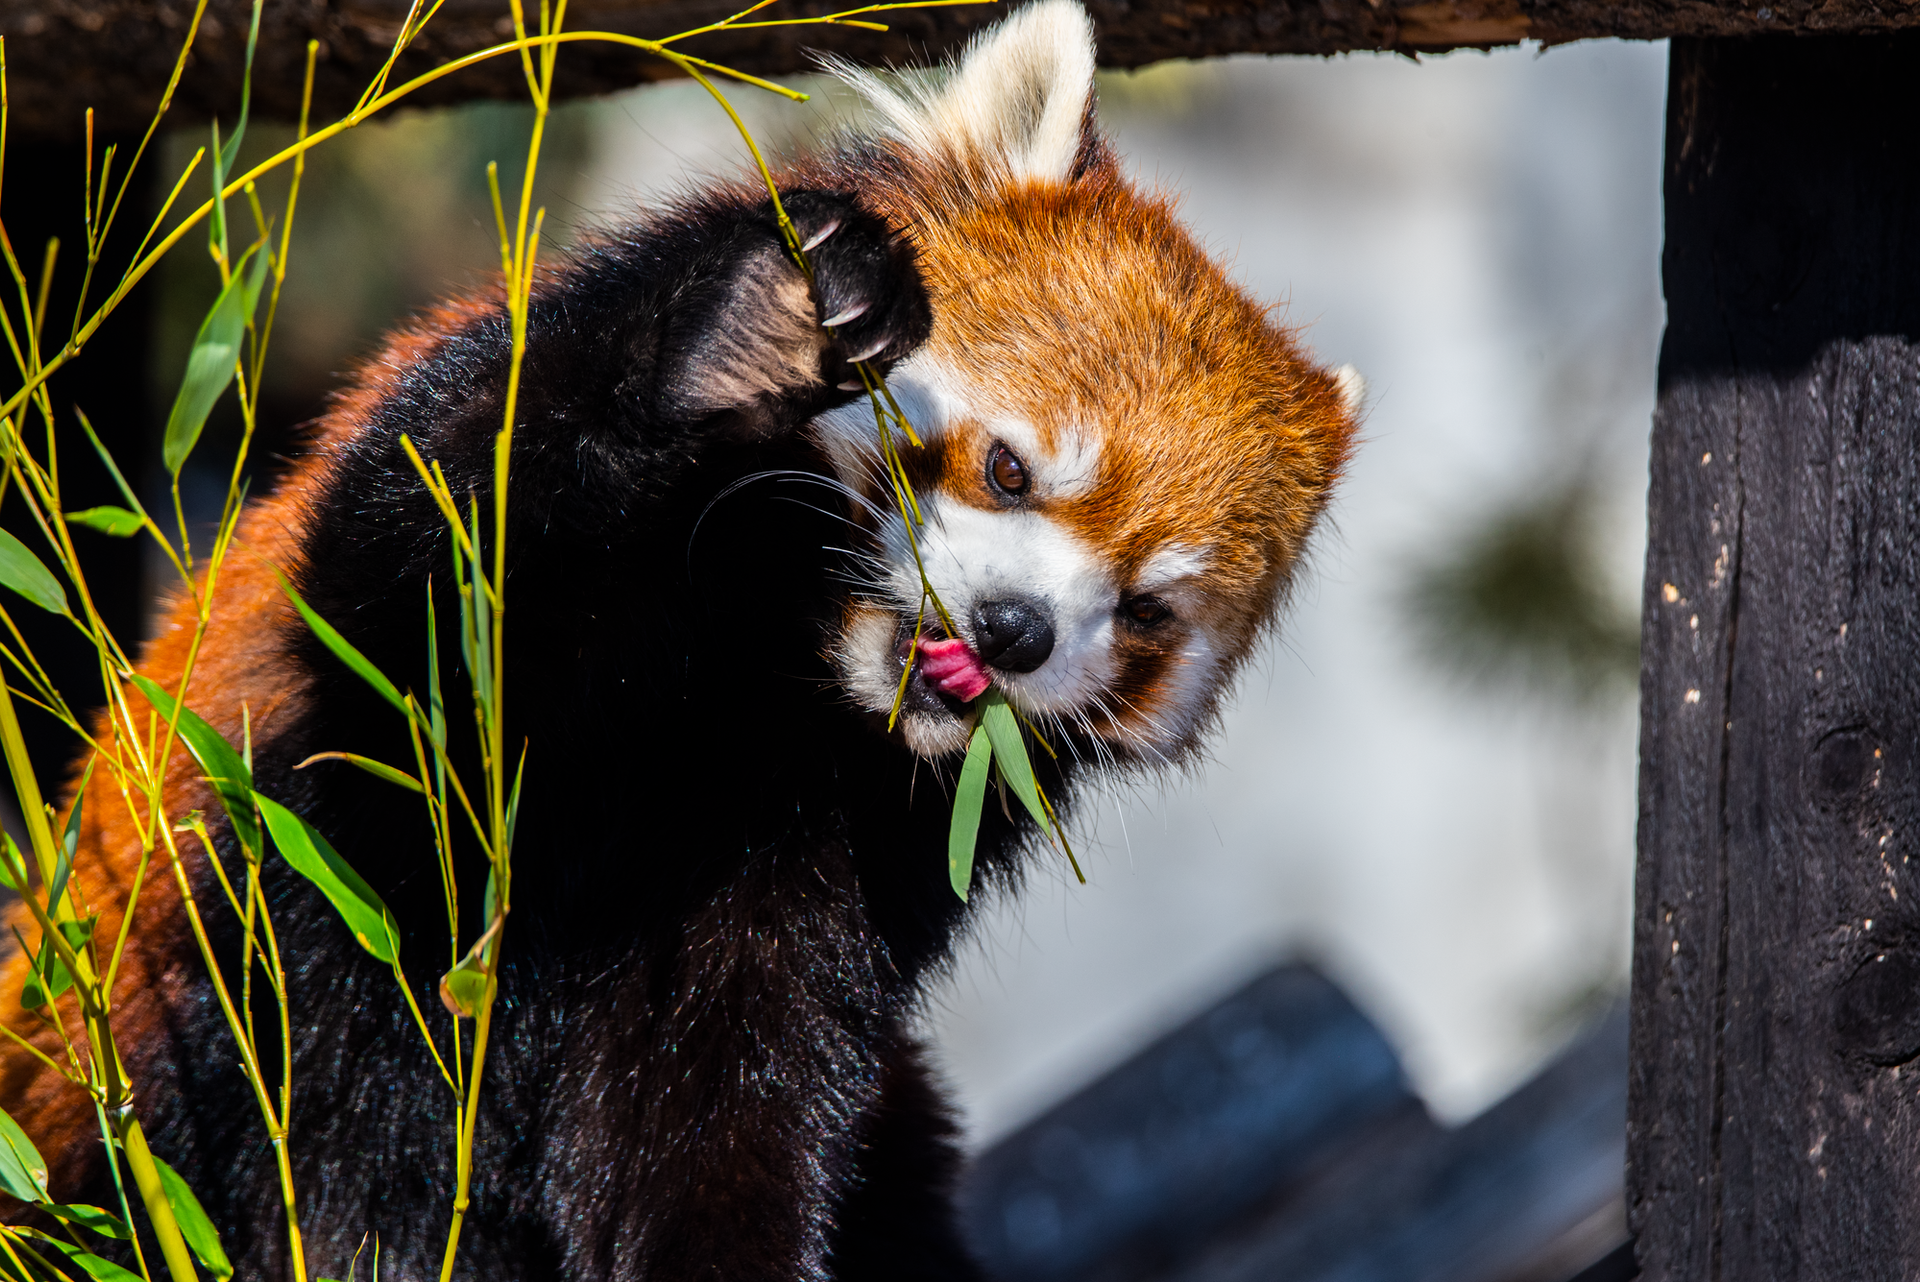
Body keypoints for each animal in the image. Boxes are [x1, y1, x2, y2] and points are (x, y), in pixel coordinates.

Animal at [0, 3, 1357, 1278]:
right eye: (1011, 468)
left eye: (1145, 610)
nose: (1014, 630)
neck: (774, 676)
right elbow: (431, 571)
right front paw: (741, 338)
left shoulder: (817, 857)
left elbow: (715, 1099)